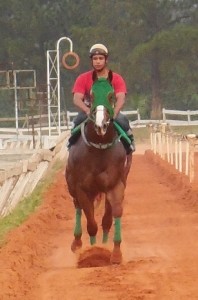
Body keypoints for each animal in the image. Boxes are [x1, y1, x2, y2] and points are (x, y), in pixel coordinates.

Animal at [65, 77, 132, 262]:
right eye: (92, 95)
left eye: (111, 95)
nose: (101, 124)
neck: (99, 149)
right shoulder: (82, 188)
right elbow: (91, 222)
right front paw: (93, 252)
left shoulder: (116, 185)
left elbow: (113, 215)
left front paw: (114, 253)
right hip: (73, 186)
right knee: (78, 207)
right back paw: (77, 243)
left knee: (105, 218)